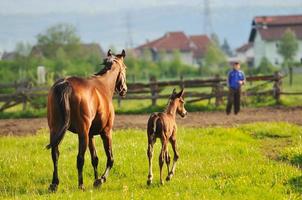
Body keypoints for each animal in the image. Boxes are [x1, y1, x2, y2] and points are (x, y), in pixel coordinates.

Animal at [46, 49, 127, 191]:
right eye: (125, 68)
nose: (124, 89)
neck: (103, 85)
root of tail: (65, 84)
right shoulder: (106, 132)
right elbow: (110, 158)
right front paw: (100, 179)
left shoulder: (90, 135)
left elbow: (95, 158)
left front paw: (95, 179)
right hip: (82, 133)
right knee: (80, 158)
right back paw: (81, 185)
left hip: (55, 130)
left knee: (55, 154)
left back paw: (54, 184)